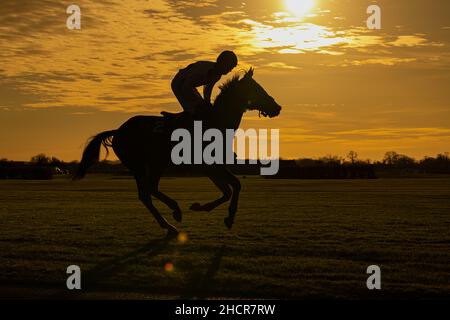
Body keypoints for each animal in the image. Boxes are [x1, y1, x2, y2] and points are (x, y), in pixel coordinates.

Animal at [74, 68, 282, 238]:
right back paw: (175, 212)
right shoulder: (208, 165)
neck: (216, 122)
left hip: (144, 166)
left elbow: (228, 190)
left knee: (146, 194)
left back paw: (168, 225)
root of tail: (118, 131)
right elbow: (235, 186)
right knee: (149, 190)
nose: (277, 107)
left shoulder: (211, 167)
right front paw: (228, 217)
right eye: (257, 88)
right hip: (147, 164)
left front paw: (201, 207)